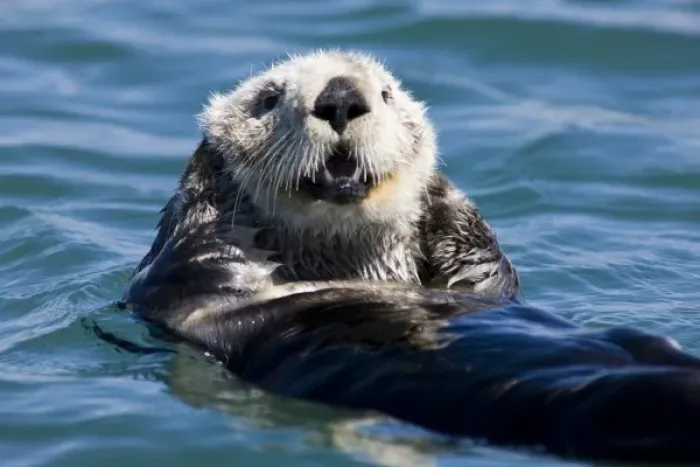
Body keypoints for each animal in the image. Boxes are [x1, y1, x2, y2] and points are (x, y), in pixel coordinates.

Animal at [123, 50, 700, 463]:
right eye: (267, 98)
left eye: (385, 94)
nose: (340, 97)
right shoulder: (184, 292)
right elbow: (202, 254)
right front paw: (208, 181)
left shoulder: (488, 286)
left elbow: (487, 270)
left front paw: (443, 197)